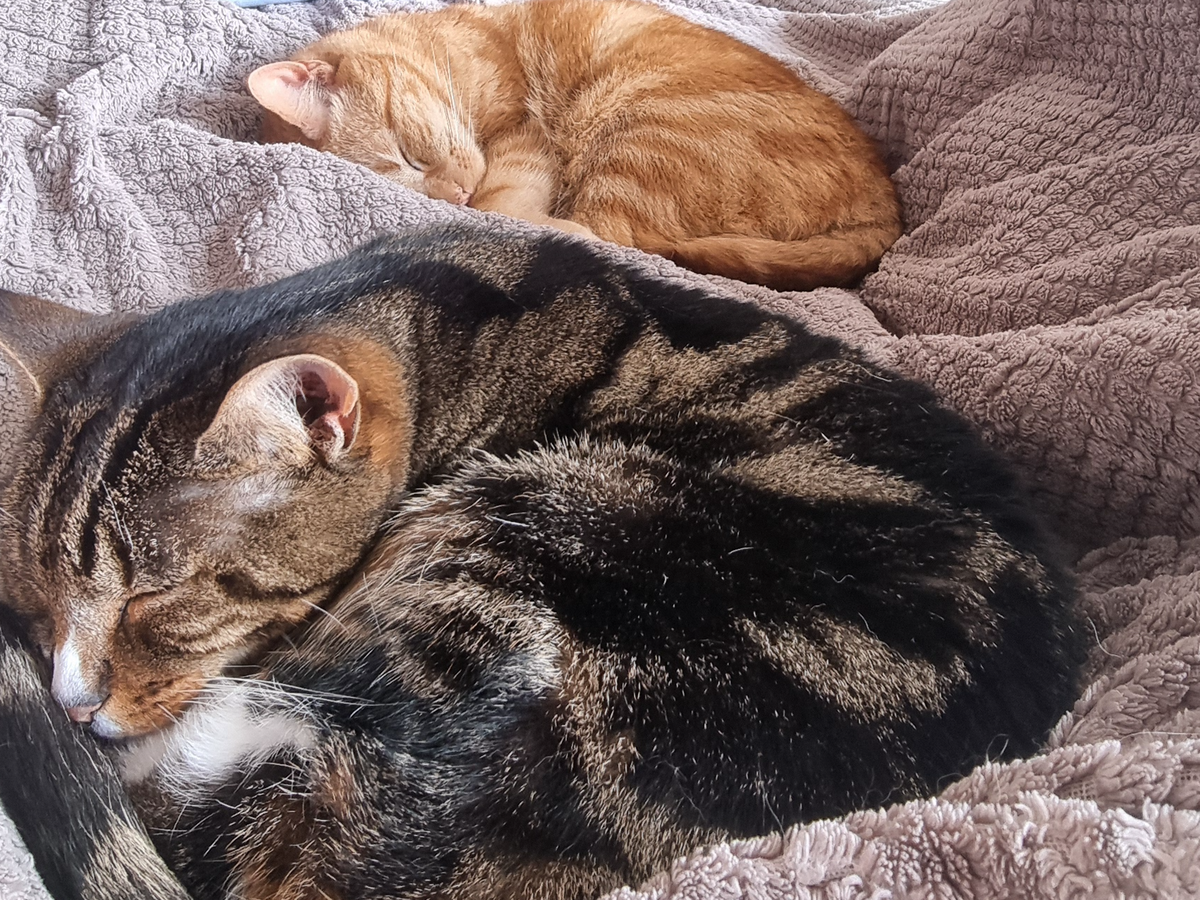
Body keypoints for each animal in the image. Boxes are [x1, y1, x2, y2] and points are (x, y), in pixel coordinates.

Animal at [247, 0, 902, 292]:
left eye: (409, 155)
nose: (454, 197)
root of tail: (885, 206)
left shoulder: (522, 134)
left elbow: (504, 201)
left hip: (639, 130)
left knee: (612, 238)